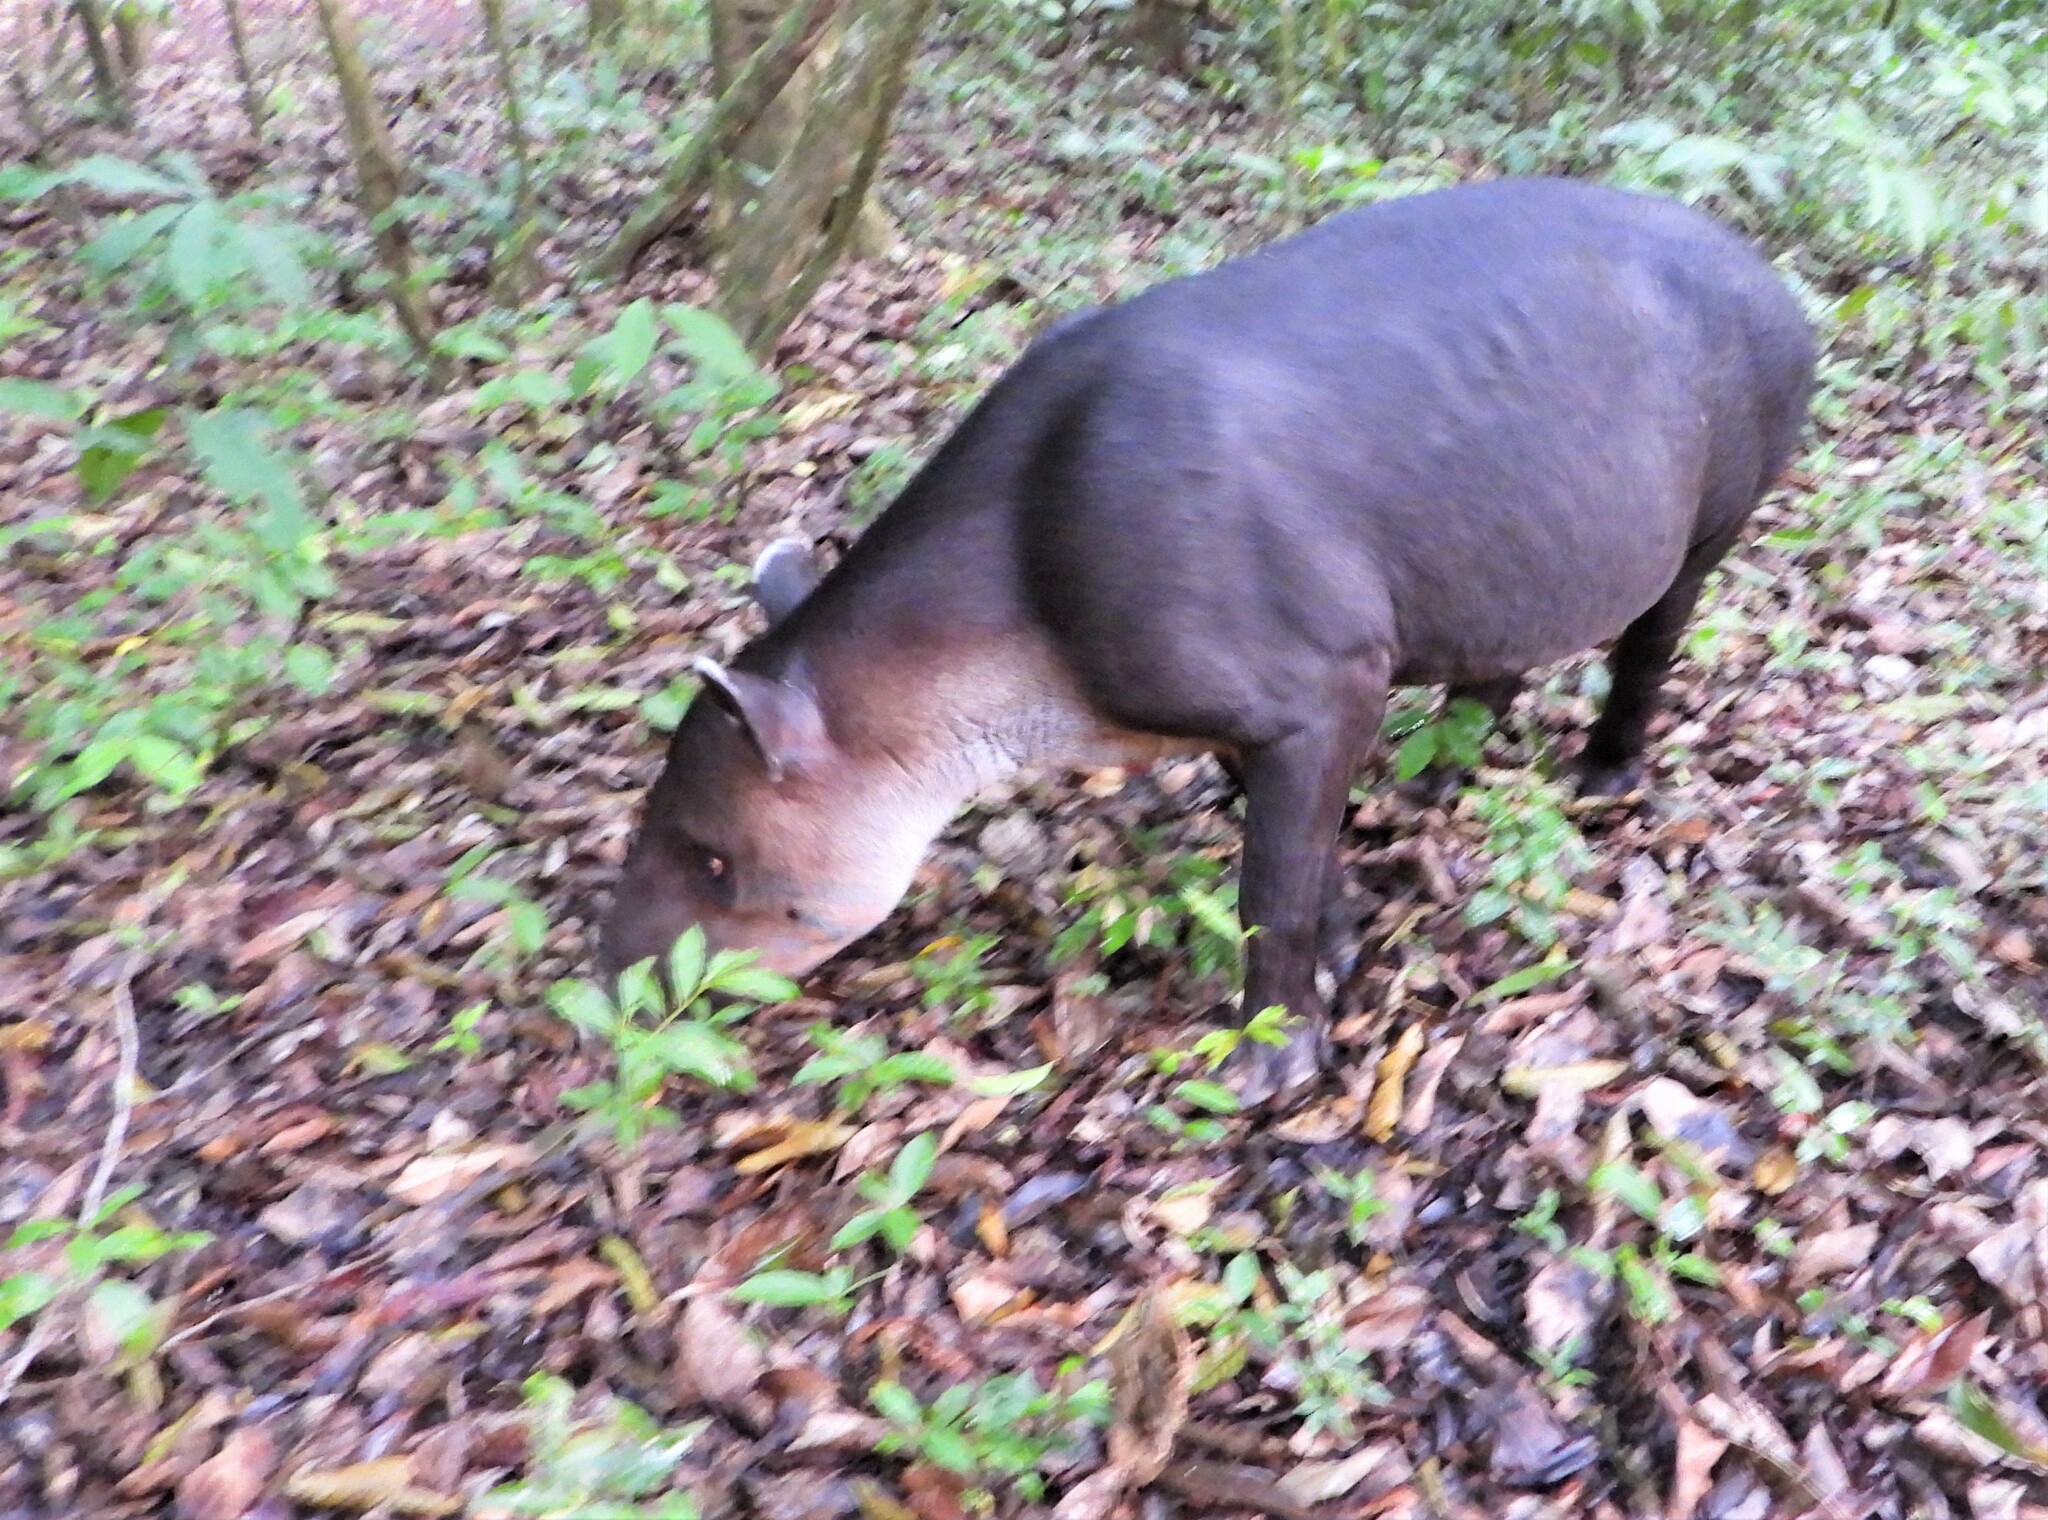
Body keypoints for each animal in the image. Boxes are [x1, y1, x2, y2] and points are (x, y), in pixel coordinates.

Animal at [600, 176, 1816, 1103]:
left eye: (714, 858)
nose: (607, 991)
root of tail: (1776, 274)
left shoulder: (1321, 673)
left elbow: (1266, 881)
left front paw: (1273, 1054)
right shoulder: (1239, 700)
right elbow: (1291, 844)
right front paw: (1342, 941)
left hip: (1728, 476)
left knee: (1657, 625)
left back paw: (1607, 770)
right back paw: (1448, 761)